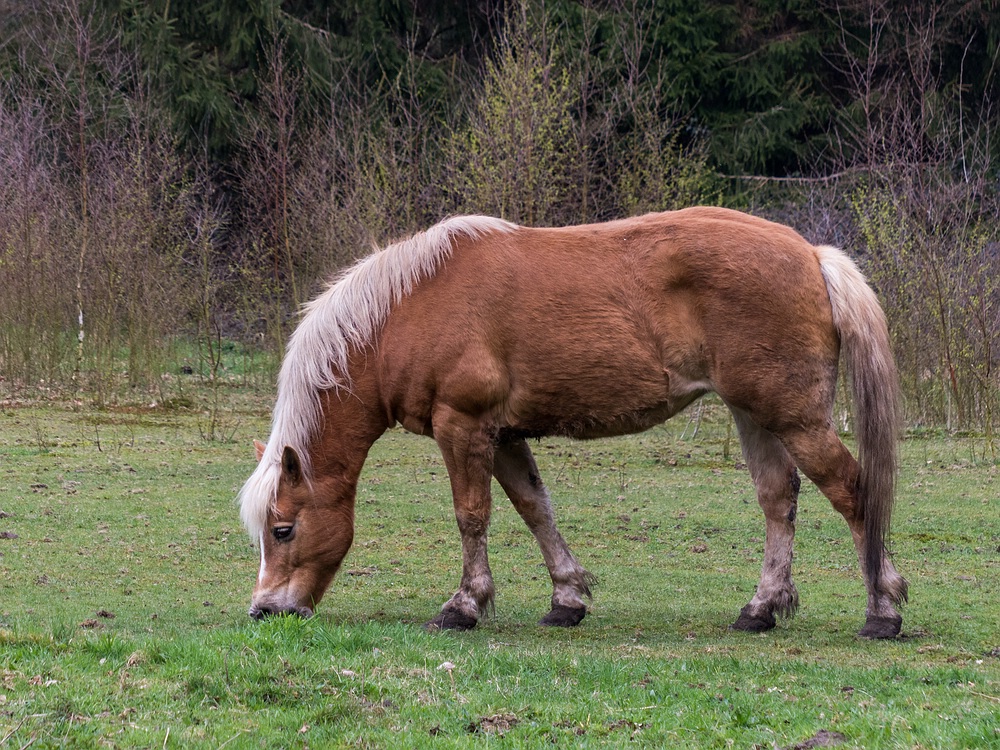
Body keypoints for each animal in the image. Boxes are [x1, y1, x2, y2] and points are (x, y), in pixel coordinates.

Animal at [238, 207, 912, 640]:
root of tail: (812, 256)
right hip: (756, 416)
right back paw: (761, 609)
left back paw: (882, 610)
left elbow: (472, 516)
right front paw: (566, 598)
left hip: (794, 417)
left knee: (854, 493)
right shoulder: (503, 437)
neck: (412, 307)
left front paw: (464, 606)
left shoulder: (464, 429)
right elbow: (535, 510)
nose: (265, 610)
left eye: (282, 529)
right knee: (779, 500)